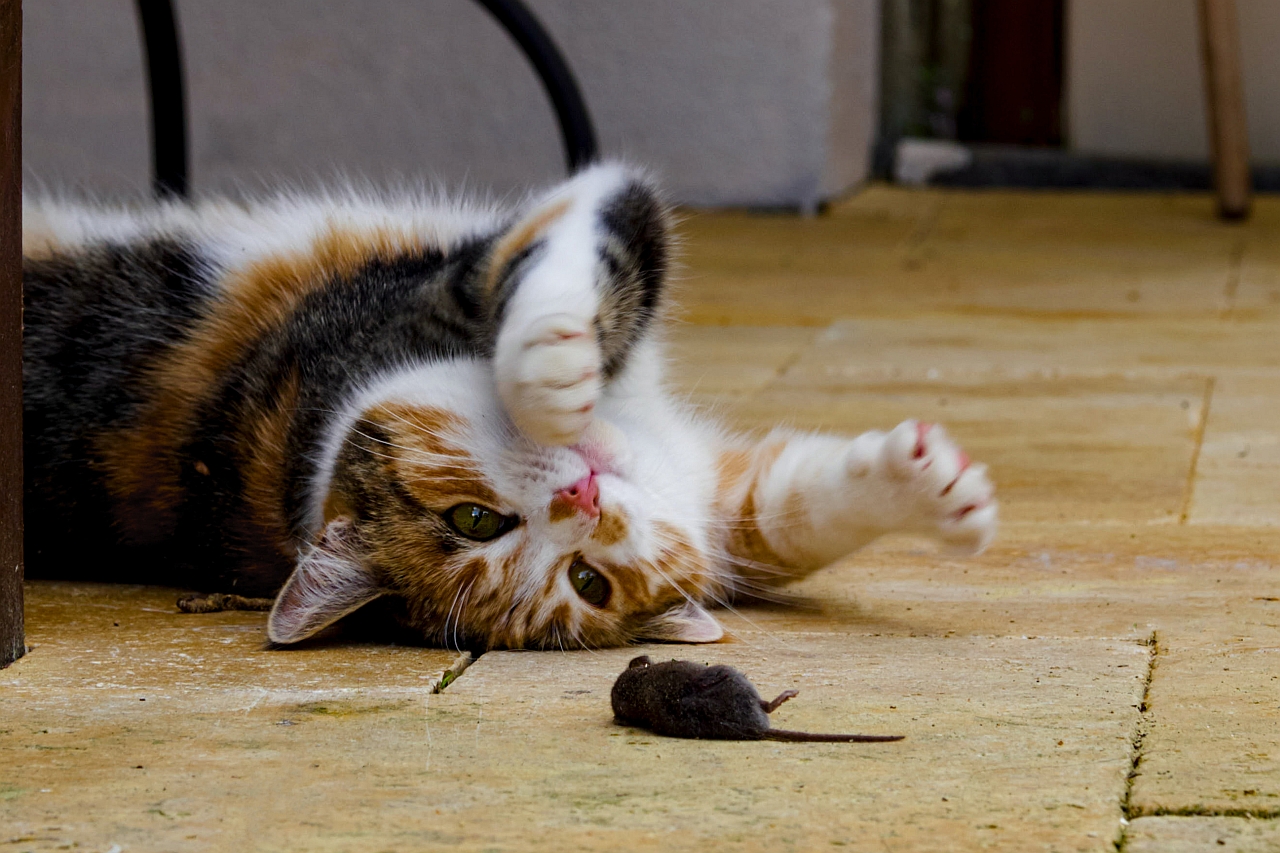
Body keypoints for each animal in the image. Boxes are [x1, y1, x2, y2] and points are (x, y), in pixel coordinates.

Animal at [22, 163, 998, 645]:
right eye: (477, 521)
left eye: (588, 577)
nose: (585, 500)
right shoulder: (455, 277)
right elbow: (588, 233)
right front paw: (554, 371)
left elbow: (788, 513)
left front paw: (936, 489)